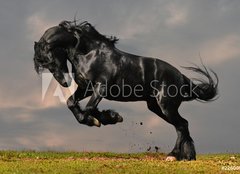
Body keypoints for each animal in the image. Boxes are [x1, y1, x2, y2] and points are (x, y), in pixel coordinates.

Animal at [32, 20, 218, 160]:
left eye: (50, 60)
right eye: (45, 64)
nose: (64, 83)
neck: (90, 54)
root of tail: (181, 76)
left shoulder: (101, 87)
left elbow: (89, 109)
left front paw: (103, 119)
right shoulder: (86, 88)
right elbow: (72, 103)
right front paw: (107, 117)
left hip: (166, 106)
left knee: (181, 125)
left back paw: (173, 155)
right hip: (156, 107)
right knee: (183, 125)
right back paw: (187, 156)